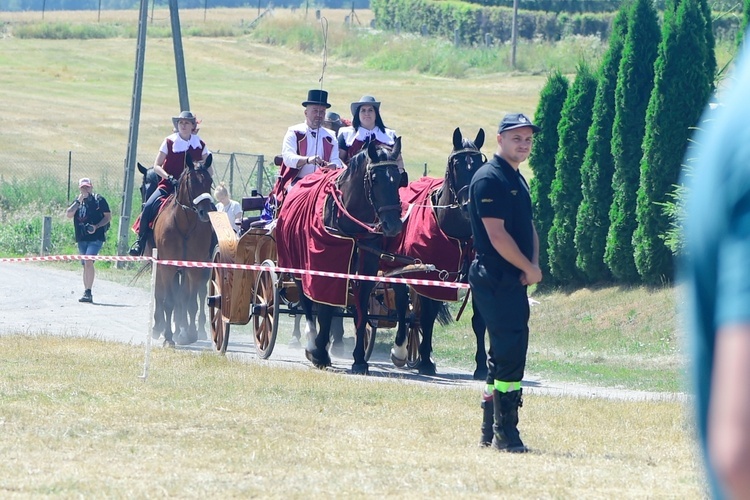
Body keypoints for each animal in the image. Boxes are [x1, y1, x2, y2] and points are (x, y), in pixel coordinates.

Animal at [149, 154, 214, 346]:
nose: (205, 212)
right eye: (192, 182)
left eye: (209, 181)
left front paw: (190, 334)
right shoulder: (167, 266)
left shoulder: (194, 268)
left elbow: (190, 303)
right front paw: (169, 337)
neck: (185, 226)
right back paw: (159, 328)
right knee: (161, 294)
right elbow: (169, 301)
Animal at [276, 139, 406, 374]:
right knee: (306, 303)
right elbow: (325, 308)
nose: (393, 226)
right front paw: (319, 352)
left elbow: (360, 307)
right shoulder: (327, 261)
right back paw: (312, 341)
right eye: (375, 179)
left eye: (398, 178)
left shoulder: (366, 266)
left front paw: (359, 359)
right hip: (296, 264)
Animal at [388, 128, 488, 376]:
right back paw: (401, 350)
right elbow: (427, 316)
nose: (469, 205)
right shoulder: (431, 277)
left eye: (479, 164)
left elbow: (479, 321)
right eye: (456, 165)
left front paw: (482, 365)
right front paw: (425, 360)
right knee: (403, 306)